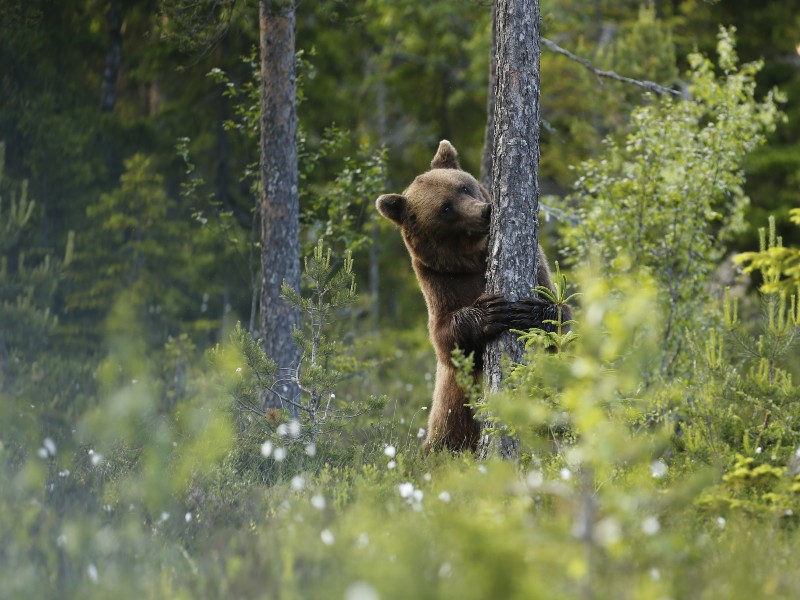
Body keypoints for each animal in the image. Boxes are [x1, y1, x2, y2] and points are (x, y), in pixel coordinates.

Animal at [376, 139, 568, 450]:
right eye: (445, 208)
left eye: (464, 187)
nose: (485, 211)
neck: (472, 262)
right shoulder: (442, 285)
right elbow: (445, 340)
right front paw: (490, 312)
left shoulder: (539, 267)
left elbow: (563, 318)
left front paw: (530, 310)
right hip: (447, 433)